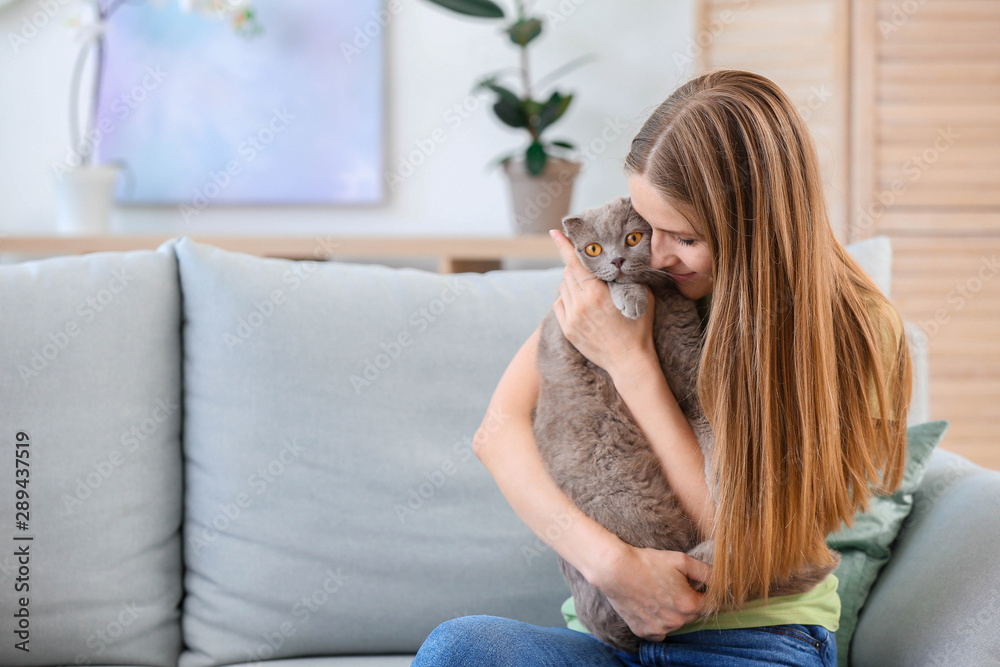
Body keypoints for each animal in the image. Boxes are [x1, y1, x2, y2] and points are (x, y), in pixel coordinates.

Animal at [536, 196, 840, 656]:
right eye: (592, 249)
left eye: (633, 237)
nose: (618, 261)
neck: (664, 299)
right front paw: (630, 300)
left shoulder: (689, 377)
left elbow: (714, 433)